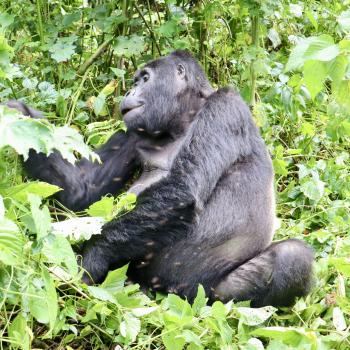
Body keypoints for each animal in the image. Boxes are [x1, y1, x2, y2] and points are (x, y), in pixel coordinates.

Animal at [8, 50, 314, 308]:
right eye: (136, 81)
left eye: (145, 78)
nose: (130, 90)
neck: (185, 116)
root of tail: (171, 295)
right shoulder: (134, 131)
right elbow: (84, 188)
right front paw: (20, 116)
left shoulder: (225, 106)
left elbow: (181, 191)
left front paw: (92, 257)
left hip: (203, 296)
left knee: (293, 257)